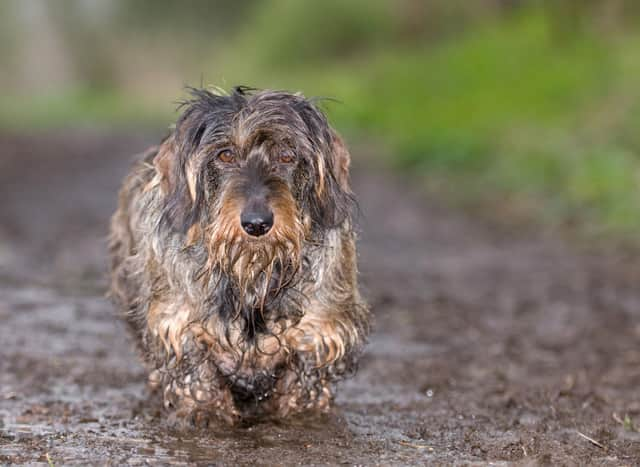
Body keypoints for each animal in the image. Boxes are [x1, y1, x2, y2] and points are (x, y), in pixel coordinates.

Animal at [109, 86, 370, 426]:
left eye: (287, 156)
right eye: (225, 155)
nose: (257, 223)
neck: (251, 271)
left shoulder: (321, 328)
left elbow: (305, 378)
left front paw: (302, 413)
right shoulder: (177, 322)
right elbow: (196, 371)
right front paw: (206, 411)